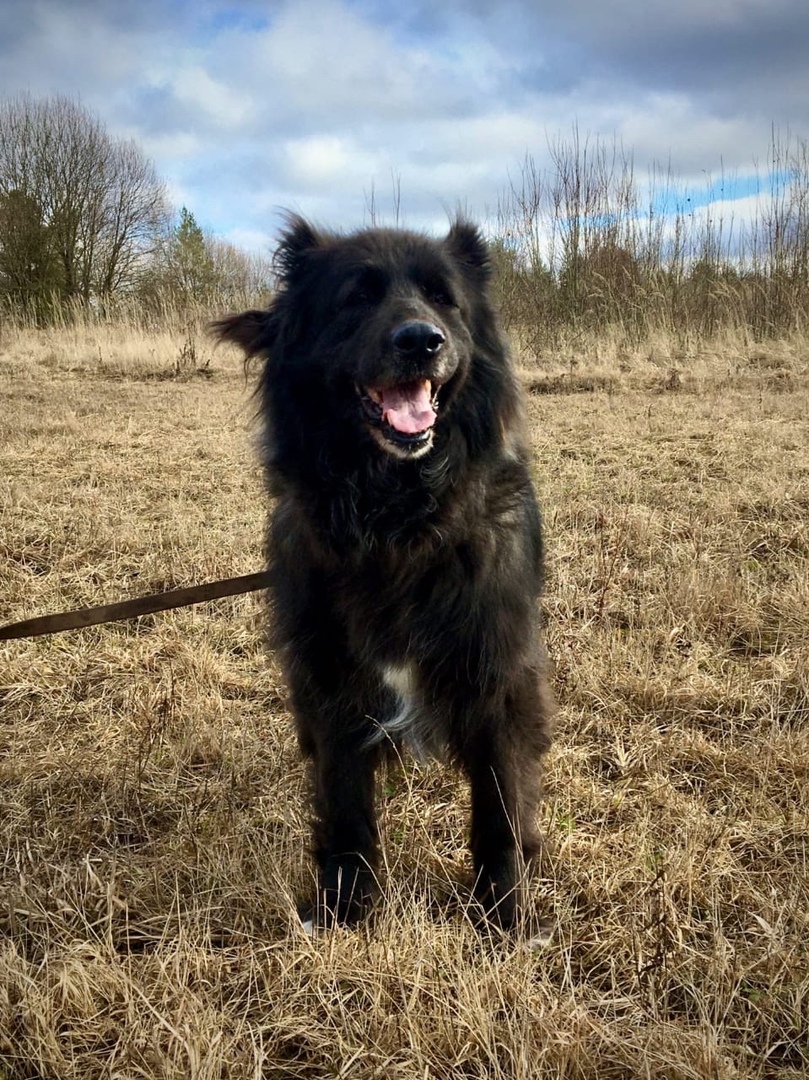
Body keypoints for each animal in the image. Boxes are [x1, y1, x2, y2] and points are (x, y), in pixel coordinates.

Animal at [212, 212, 557, 928]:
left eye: (443, 299)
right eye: (356, 299)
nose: (421, 341)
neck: (398, 519)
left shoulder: (500, 674)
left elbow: (502, 807)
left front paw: (503, 918)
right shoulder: (332, 682)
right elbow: (344, 802)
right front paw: (347, 910)